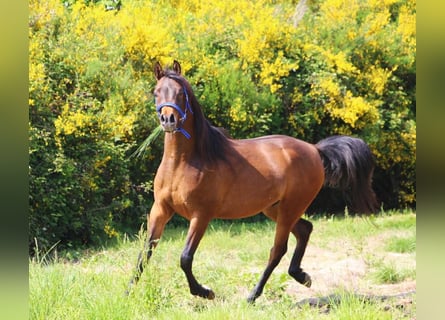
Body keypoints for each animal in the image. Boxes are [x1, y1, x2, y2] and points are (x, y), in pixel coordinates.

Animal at [126, 60, 376, 302]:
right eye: (156, 92)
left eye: (181, 93)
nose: (168, 119)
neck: (183, 163)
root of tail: (314, 149)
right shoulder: (161, 209)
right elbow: (144, 252)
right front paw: (128, 293)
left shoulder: (201, 215)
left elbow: (185, 258)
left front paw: (205, 292)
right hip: (275, 208)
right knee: (305, 229)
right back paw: (301, 276)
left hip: (289, 208)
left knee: (278, 250)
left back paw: (253, 295)